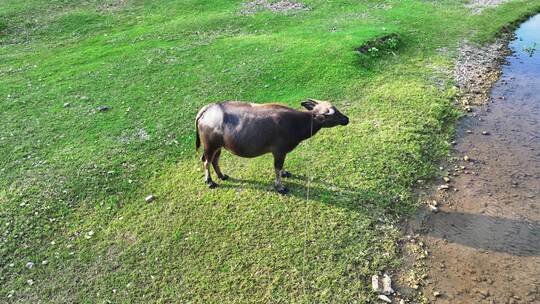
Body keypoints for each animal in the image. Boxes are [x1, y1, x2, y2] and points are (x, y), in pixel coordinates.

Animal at [195, 100, 350, 195]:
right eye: (335, 114)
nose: (346, 119)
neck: (297, 123)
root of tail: (207, 110)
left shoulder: (281, 153)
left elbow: (280, 168)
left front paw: (285, 173)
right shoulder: (279, 152)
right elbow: (277, 168)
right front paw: (280, 187)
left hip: (219, 146)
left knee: (215, 160)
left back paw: (222, 176)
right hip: (210, 145)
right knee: (206, 161)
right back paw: (210, 182)